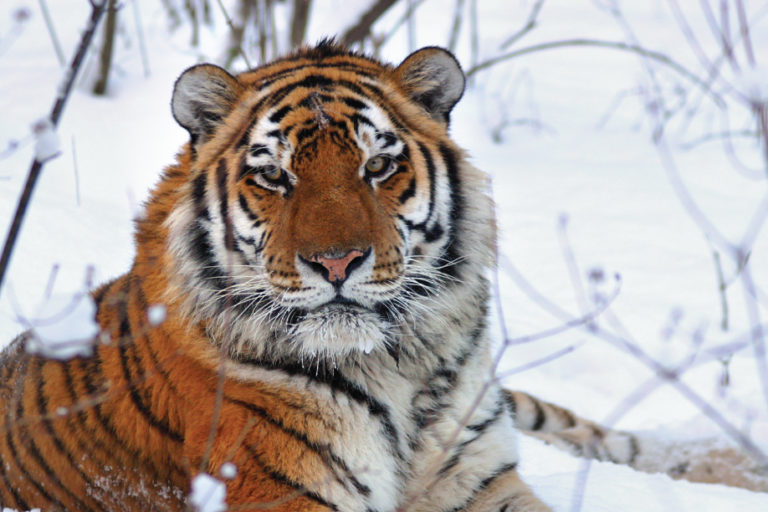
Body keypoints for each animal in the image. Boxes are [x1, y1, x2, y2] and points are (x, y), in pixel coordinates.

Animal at [0, 41, 764, 512]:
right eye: (274, 176)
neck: (403, 365)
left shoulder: (479, 477)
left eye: (378, 166)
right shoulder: (279, 490)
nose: (337, 262)